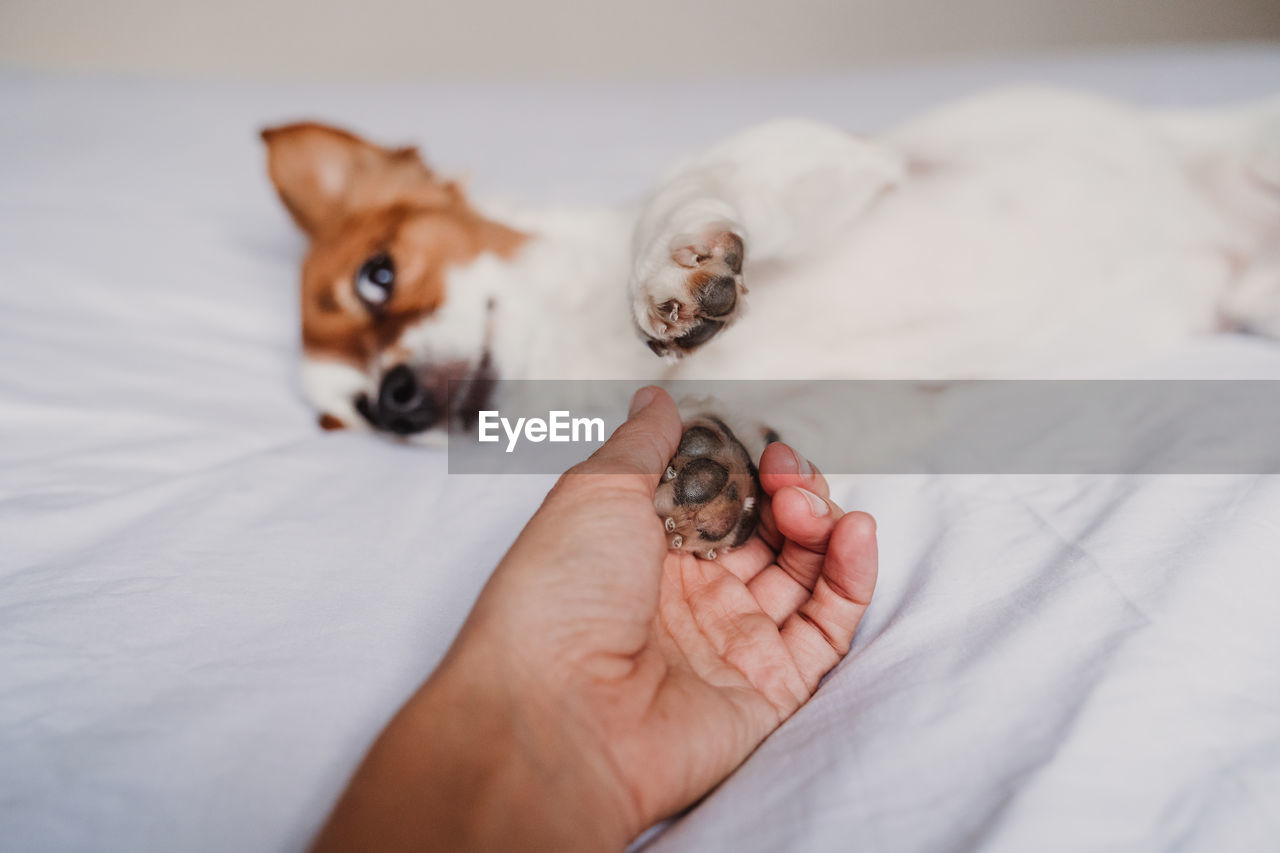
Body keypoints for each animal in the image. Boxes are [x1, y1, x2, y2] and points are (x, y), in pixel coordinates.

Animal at [262, 87, 1280, 558]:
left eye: (379, 274)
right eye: (344, 419)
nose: (390, 399)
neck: (580, 356)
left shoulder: (841, 161)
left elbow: (688, 187)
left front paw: (672, 265)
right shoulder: (892, 399)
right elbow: (778, 429)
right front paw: (721, 466)